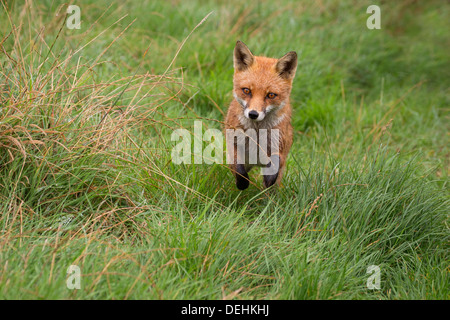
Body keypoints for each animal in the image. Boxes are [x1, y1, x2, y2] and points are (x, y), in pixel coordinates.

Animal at [224, 41, 296, 189]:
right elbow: (239, 170)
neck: (256, 134)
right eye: (246, 90)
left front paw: (269, 179)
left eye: (271, 95)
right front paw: (242, 184)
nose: (253, 114)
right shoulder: (233, 142)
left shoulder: (278, 146)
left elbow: (276, 163)